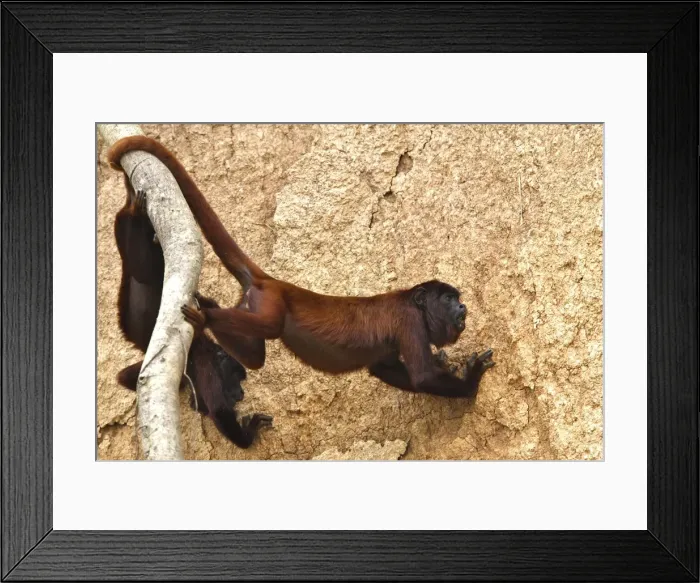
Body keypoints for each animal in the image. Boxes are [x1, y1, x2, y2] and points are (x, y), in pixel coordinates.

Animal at [109, 136, 496, 399]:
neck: (412, 302)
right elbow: (422, 377)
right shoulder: (410, 322)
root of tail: (270, 280)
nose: (462, 307)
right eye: (448, 299)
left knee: (254, 357)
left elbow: (383, 368)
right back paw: (206, 315)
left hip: (252, 301)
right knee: (270, 325)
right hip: (270, 301)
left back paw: (208, 309)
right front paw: (470, 381)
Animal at [113, 176, 272, 448]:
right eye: (236, 380)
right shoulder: (205, 362)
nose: (241, 395)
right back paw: (134, 212)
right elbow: (218, 408)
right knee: (141, 266)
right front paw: (249, 432)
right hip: (147, 276)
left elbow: (126, 377)